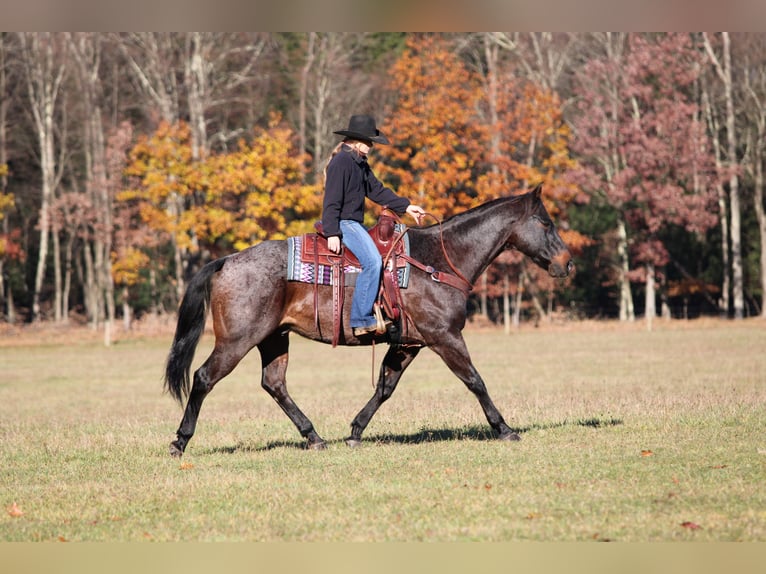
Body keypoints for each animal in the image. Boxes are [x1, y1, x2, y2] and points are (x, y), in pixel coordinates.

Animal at [163, 184, 573, 456]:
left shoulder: (408, 343)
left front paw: (356, 431)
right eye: (545, 222)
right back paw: (180, 441)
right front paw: (504, 428)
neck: (437, 261)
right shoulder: (444, 337)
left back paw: (315, 437)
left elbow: (385, 387)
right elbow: (475, 380)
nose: (567, 263)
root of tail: (227, 261)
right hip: (237, 341)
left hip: (274, 338)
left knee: (274, 384)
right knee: (204, 377)